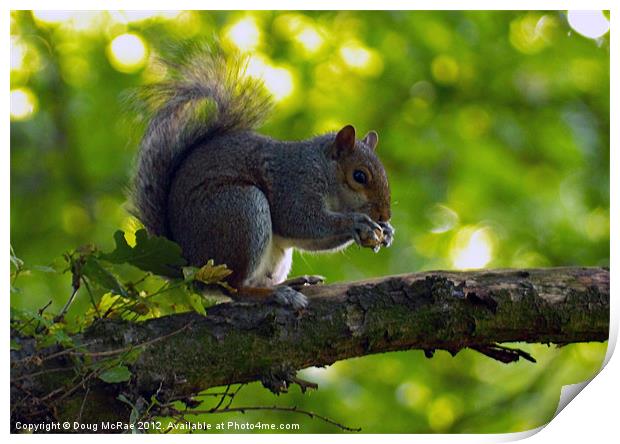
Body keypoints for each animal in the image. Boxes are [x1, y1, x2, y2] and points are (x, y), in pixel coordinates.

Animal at [130, 49, 392, 308]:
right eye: (359, 176)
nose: (384, 215)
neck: (324, 172)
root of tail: (192, 268)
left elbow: (310, 240)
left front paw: (386, 231)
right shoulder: (294, 183)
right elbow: (299, 220)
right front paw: (356, 222)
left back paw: (291, 283)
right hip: (241, 211)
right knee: (235, 288)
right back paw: (277, 294)